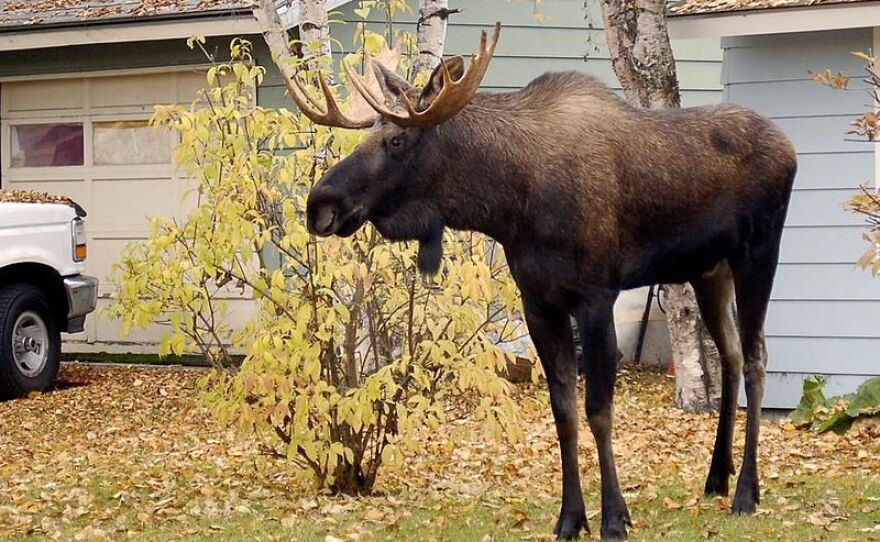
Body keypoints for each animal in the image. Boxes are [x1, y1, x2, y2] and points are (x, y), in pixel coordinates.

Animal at [282, 23, 796, 540]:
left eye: (396, 141)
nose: (319, 204)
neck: (510, 204)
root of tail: (790, 147)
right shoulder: (539, 301)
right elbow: (563, 412)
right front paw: (571, 517)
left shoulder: (595, 296)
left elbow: (598, 411)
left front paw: (614, 517)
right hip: (709, 270)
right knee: (731, 355)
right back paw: (717, 476)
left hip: (759, 254)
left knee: (757, 358)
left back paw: (747, 492)